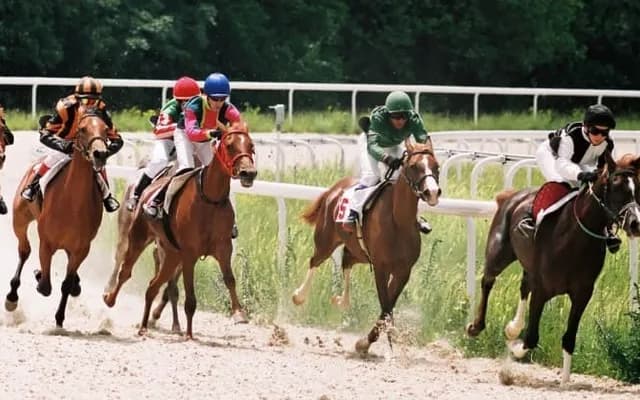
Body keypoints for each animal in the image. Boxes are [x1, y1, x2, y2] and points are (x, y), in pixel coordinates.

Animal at [5, 107, 111, 327]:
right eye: (82, 128)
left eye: (106, 129)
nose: (100, 153)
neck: (73, 201)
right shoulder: (46, 243)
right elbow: (45, 285)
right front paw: (38, 275)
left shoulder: (82, 248)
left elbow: (66, 284)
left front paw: (60, 318)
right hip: (20, 219)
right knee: (24, 250)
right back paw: (12, 297)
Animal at [103, 122, 257, 338]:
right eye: (229, 145)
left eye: (251, 146)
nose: (248, 173)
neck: (210, 199)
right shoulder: (189, 254)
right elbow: (188, 294)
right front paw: (188, 333)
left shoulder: (223, 247)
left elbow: (229, 279)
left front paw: (239, 313)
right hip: (136, 237)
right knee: (124, 269)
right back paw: (110, 297)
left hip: (170, 253)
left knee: (154, 284)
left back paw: (146, 325)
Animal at [291, 138, 441, 354]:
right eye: (414, 166)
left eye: (436, 166)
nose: (433, 192)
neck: (399, 221)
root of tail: (335, 188)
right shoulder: (381, 268)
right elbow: (386, 307)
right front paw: (380, 341)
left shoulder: (403, 271)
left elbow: (387, 307)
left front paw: (368, 341)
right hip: (325, 241)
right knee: (314, 261)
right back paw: (299, 296)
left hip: (356, 251)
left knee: (346, 263)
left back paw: (342, 301)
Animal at [466, 152, 640, 383]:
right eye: (616, 187)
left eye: (638, 188)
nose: (636, 223)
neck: (574, 240)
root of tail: (512, 196)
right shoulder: (542, 289)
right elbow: (531, 337)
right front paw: (514, 350)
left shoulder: (582, 293)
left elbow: (569, 337)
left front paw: (565, 380)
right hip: (499, 252)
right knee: (488, 280)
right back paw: (476, 327)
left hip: (529, 265)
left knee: (523, 286)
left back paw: (513, 328)